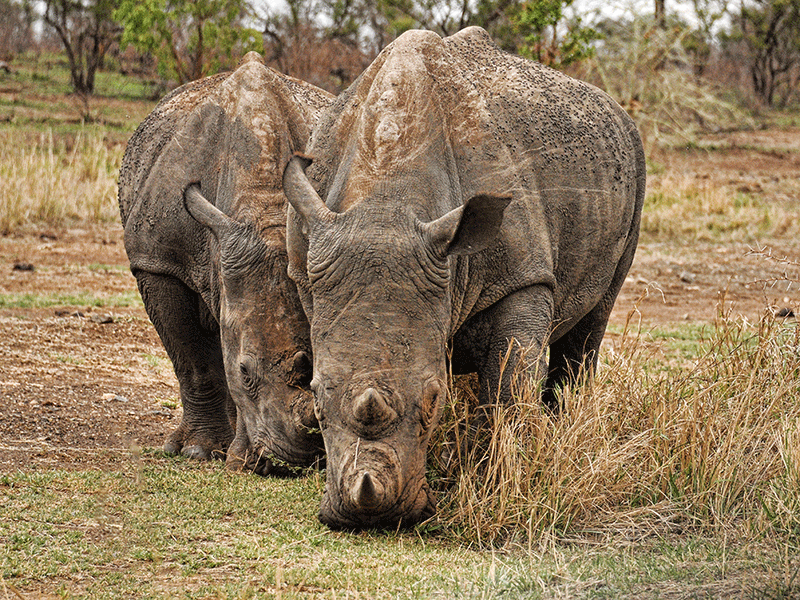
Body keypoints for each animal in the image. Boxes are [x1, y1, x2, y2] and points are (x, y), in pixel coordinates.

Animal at [282, 28, 646, 528]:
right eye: (315, 398)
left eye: (434, 399)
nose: (372, 517)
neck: (385, 202)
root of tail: (618, 111)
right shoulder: (308, 271)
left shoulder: (523, 277)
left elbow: (511, 385)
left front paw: (503, 481)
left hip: (633, 164)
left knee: (594, 317)